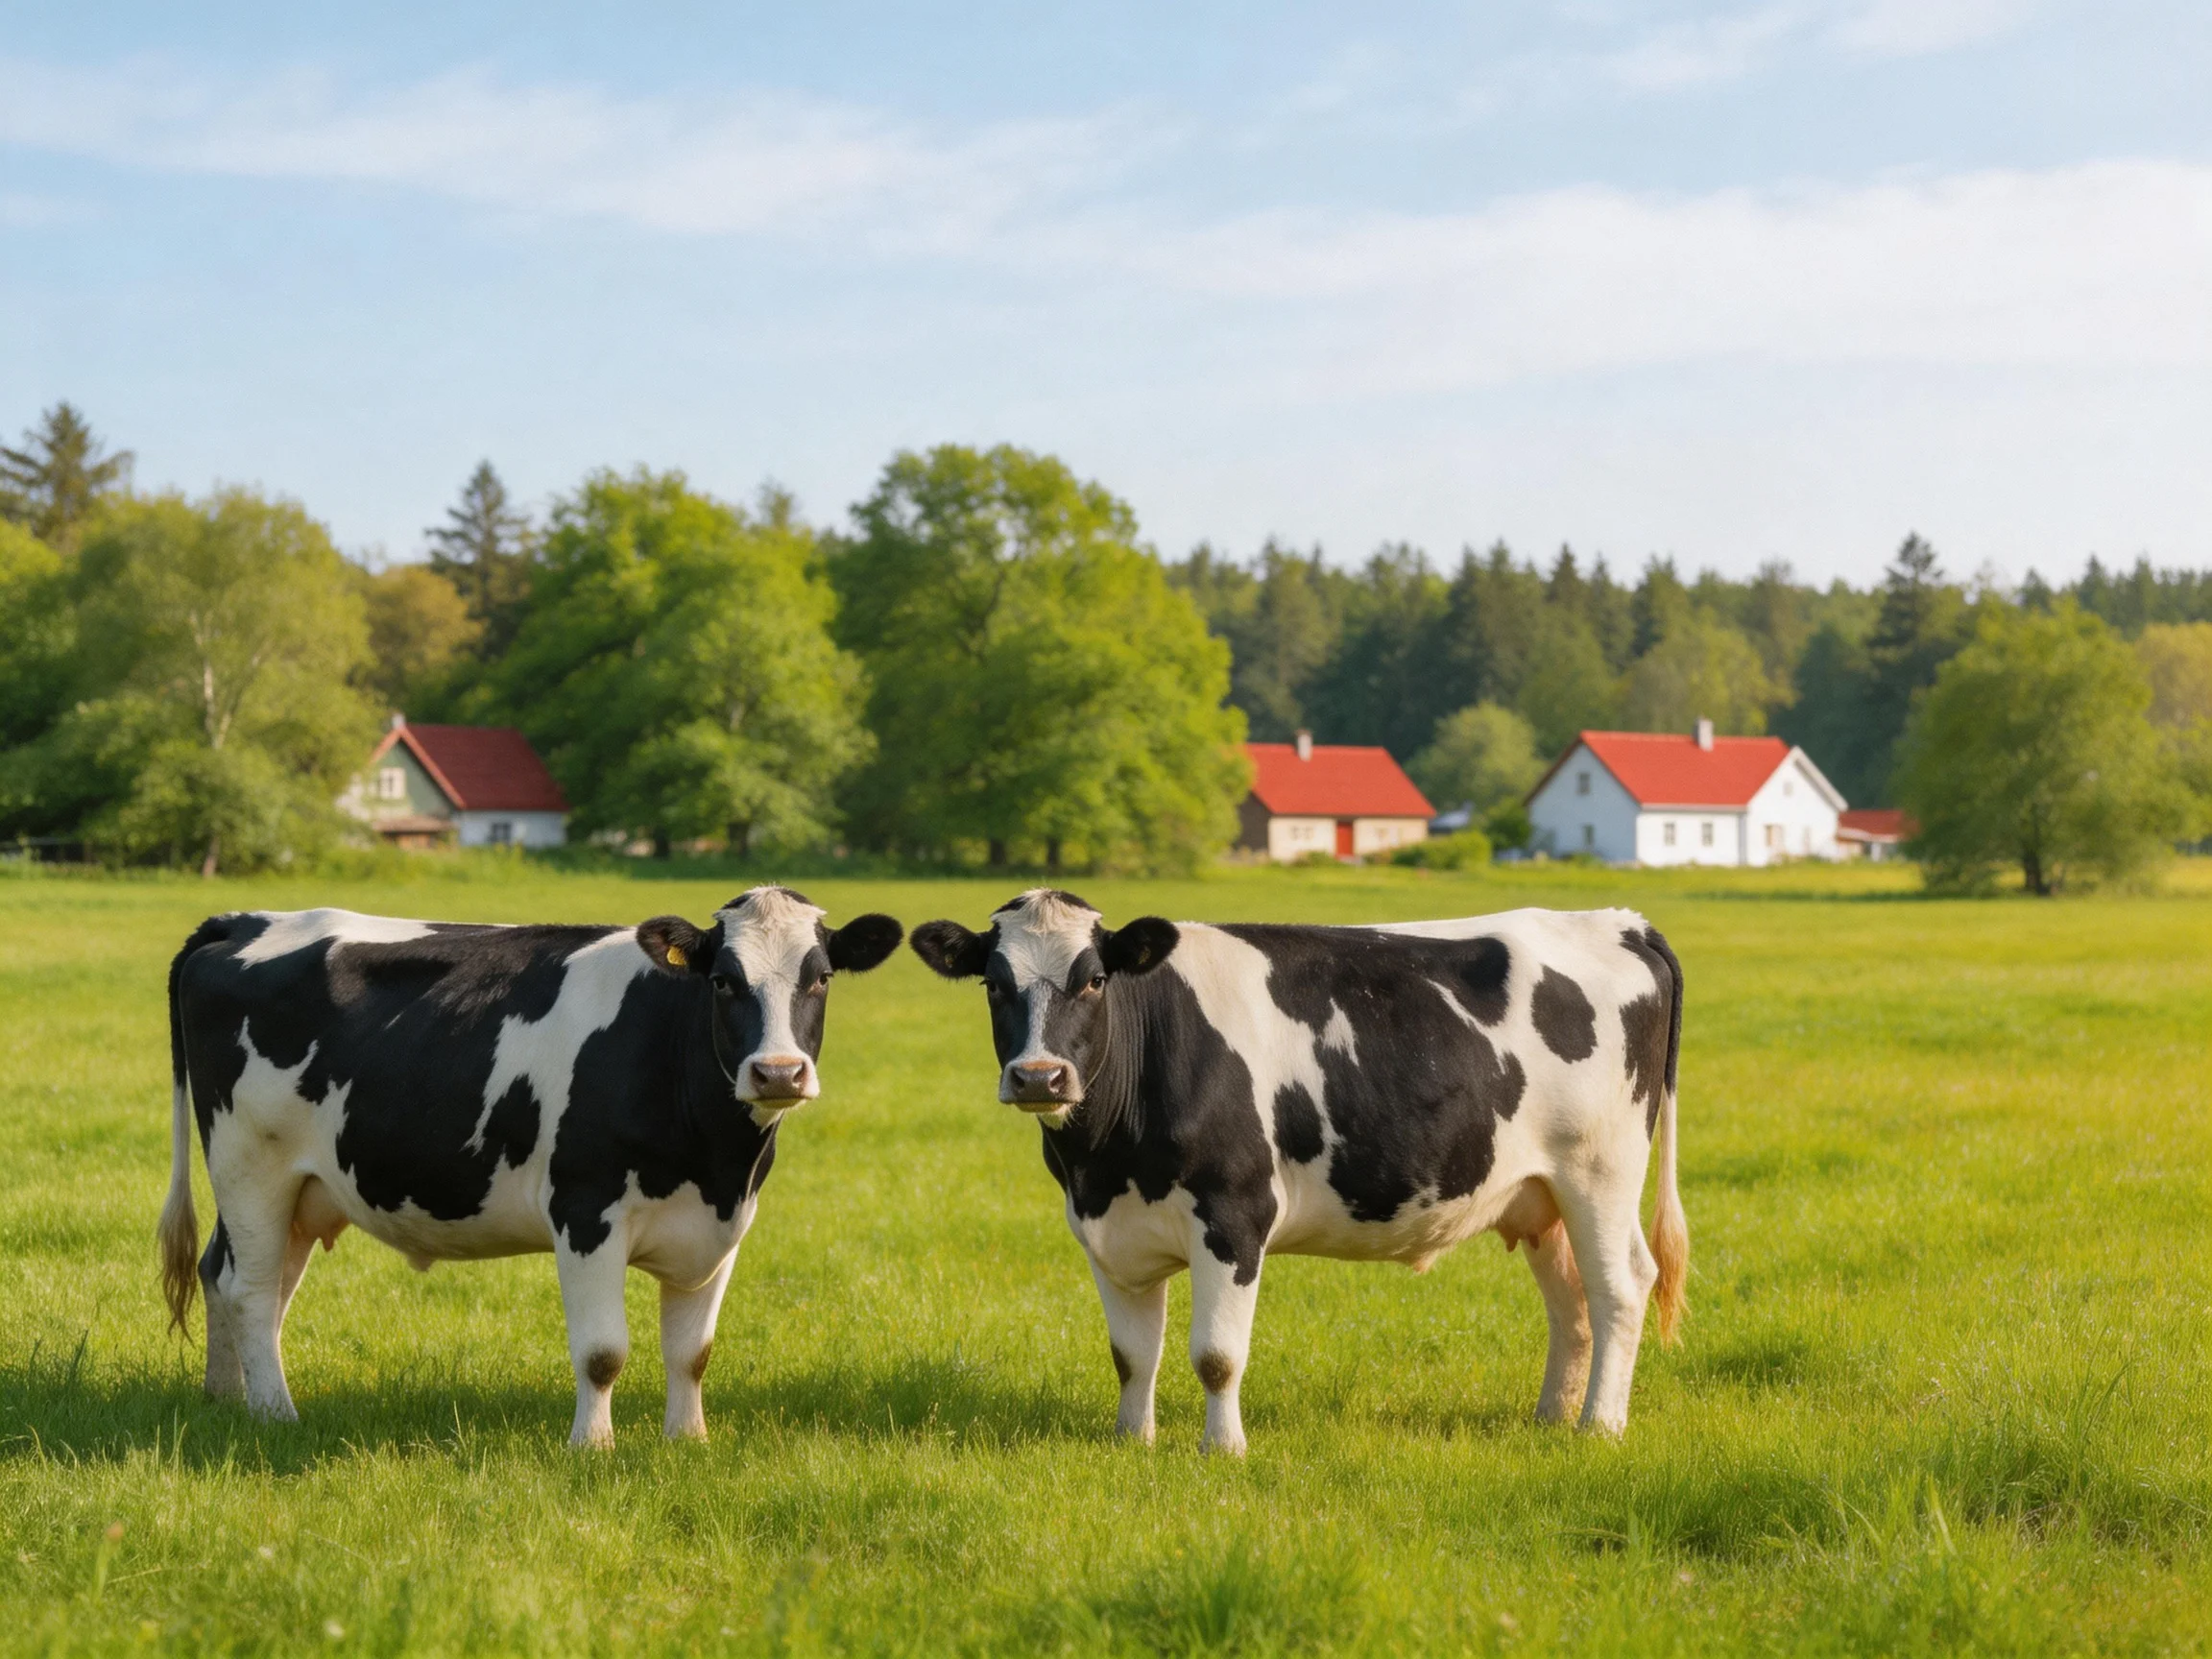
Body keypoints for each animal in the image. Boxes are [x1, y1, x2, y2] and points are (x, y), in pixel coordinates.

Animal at [157, 886, 903, 1446]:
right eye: (722, 981)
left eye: (821, 978)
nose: (777, 1072)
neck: (712, 1156)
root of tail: (246, 920)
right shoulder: (586, 1210)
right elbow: (602, 1352)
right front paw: (593, 1448)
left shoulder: (723, 1225)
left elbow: (692, 1352)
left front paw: (688, 1442)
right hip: (250, 1166)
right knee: (250, 1289)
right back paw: (276, 1415)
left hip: (303, 1191)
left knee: (234, 1278)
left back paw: (228, 1400)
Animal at [910, 889, 1686, 1452]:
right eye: (993, 985)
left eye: (1096, 979)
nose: (1040, 1076)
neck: (1107, 1160)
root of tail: (1617, 920)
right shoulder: (1107, 1230)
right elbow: (1131, 1355)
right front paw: (1132, 1442)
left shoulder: (1234, 1216)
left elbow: (1216, 1355)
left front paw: (1222, 1450)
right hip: (1540, 1193)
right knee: (1572, 1302)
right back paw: (1553, 1418)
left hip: (1600, 1171)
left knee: (1622, 1286)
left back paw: (1600, 1427)